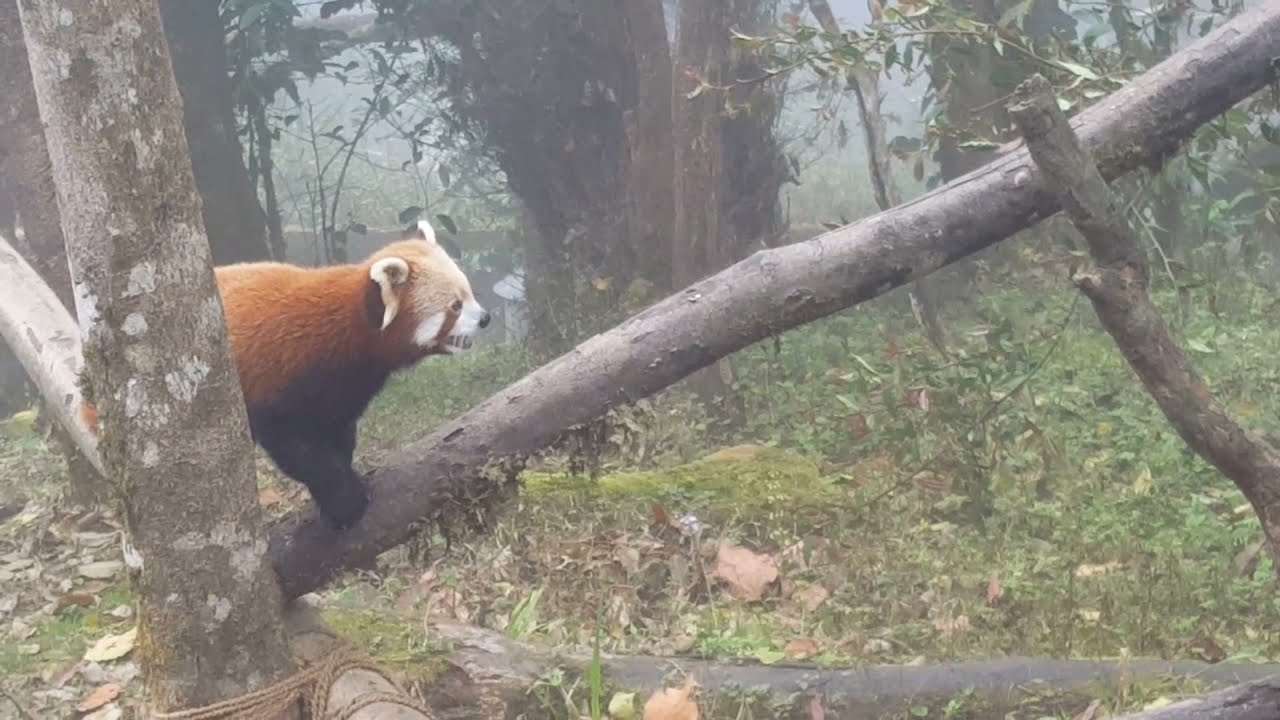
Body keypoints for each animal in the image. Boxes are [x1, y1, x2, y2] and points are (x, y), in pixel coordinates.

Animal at [80, 219, 490, 530]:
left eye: (470, 292)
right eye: (455, 306)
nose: (486, 317)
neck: (346, 334)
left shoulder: (343, 393)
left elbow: (339, 434)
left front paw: (344, 480)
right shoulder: (279, 381)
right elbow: (300, 451)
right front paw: (345, 502)